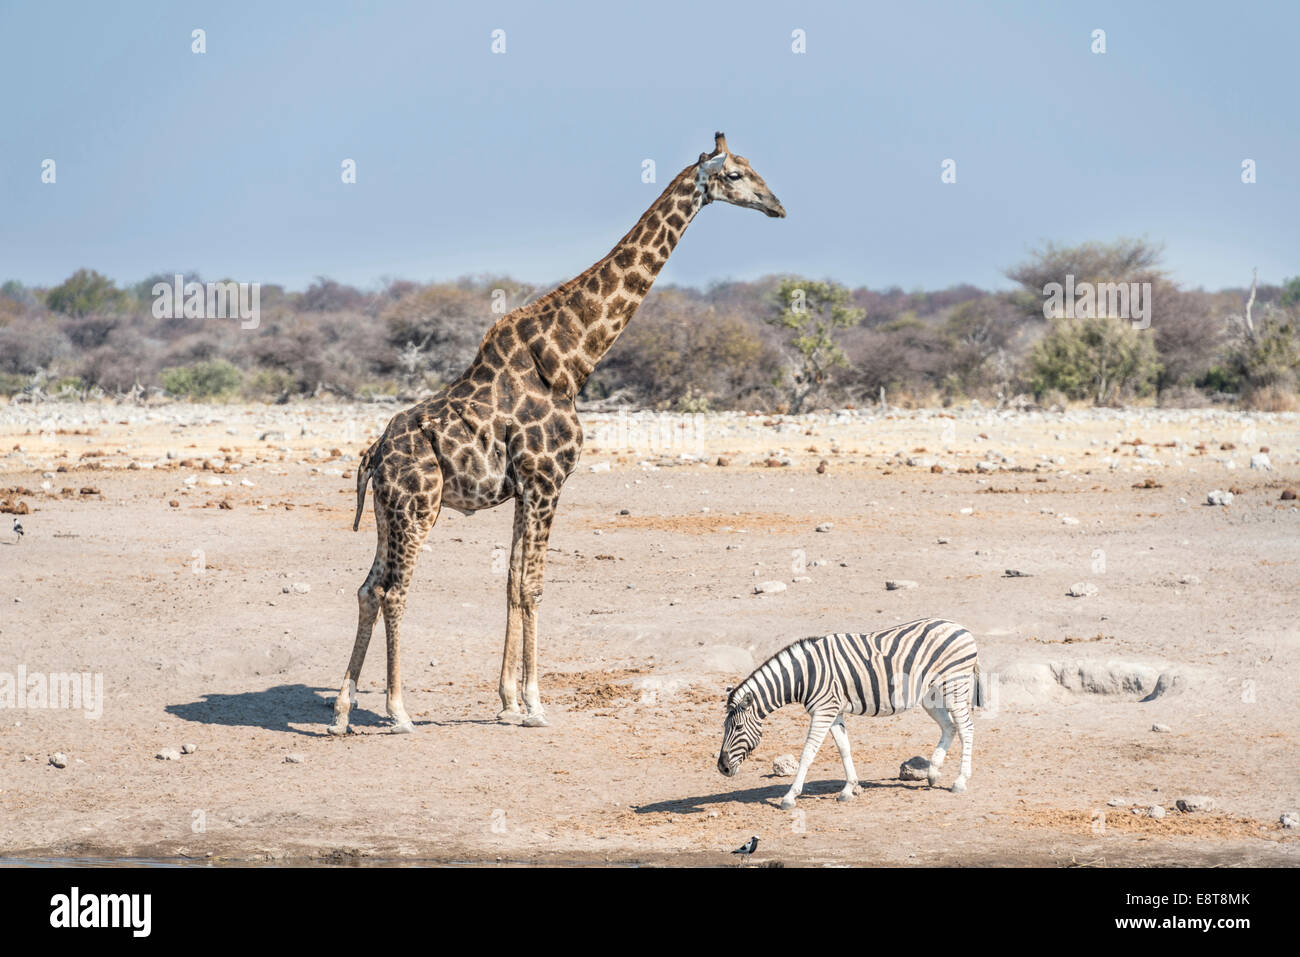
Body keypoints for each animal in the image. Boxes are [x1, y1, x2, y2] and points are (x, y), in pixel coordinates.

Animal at [327, 132, 785, 735]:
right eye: (734, 175)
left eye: (754, 168)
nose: (777, 206)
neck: (572, 359)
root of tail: (373, 455)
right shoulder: (548, 480)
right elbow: (534, 585)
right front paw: (535, 705)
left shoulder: (525, 488)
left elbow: (511, 581)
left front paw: (507, 702)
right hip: (418, 505)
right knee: (394, 590)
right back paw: (399, 711)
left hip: (387, 511)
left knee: (366, 587)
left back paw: (342, 710)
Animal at [716, 617, 984, 809]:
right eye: (724, 728)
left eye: (738, 728)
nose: (722, 768)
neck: (805, 675)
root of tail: (962, 628)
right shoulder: (833, 712)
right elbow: (844, 748)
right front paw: (848, 789)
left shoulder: (823, 711)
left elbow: (807, 753)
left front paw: (790, 796)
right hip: (931, 694)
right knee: (949, 726)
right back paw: (932, 774)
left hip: (954, 685)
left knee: (966, 728)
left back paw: (960, 781)